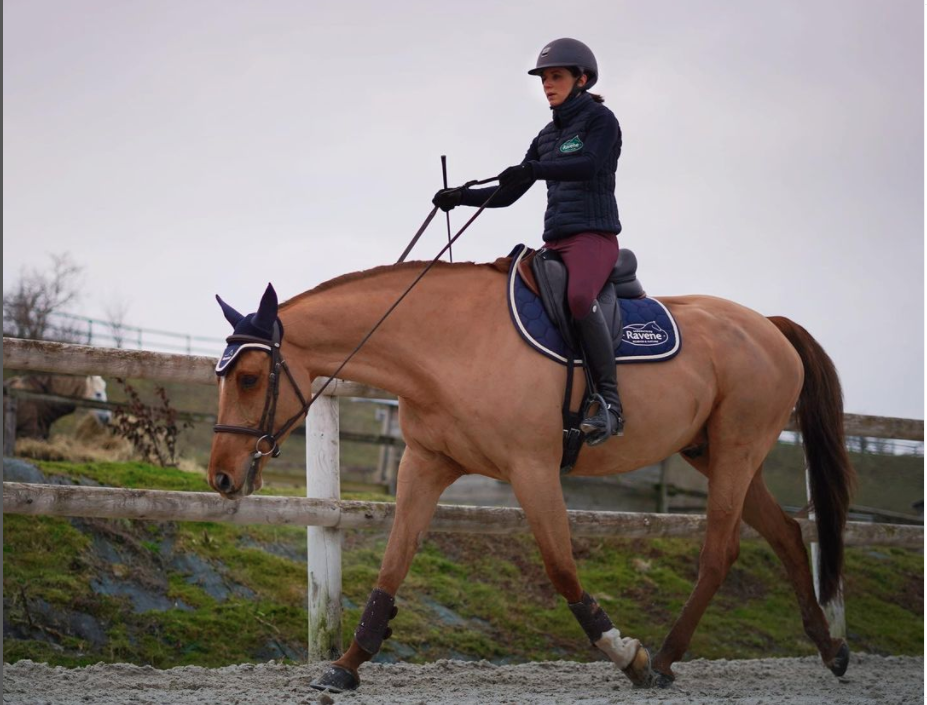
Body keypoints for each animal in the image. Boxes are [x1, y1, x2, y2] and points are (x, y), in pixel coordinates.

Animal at [208, 256, 856, 692]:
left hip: (737, 451)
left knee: (721, 553)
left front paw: (627, 654)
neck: (448, 343)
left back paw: (666, 660)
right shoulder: (425, 465)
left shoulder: (532, 468)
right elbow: (393, 563)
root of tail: (768, 324)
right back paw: (832, 651)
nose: (221, 479)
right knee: (788, 536)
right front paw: (346, 667)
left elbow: (561, 567)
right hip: (717, 453)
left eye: (249, 378)